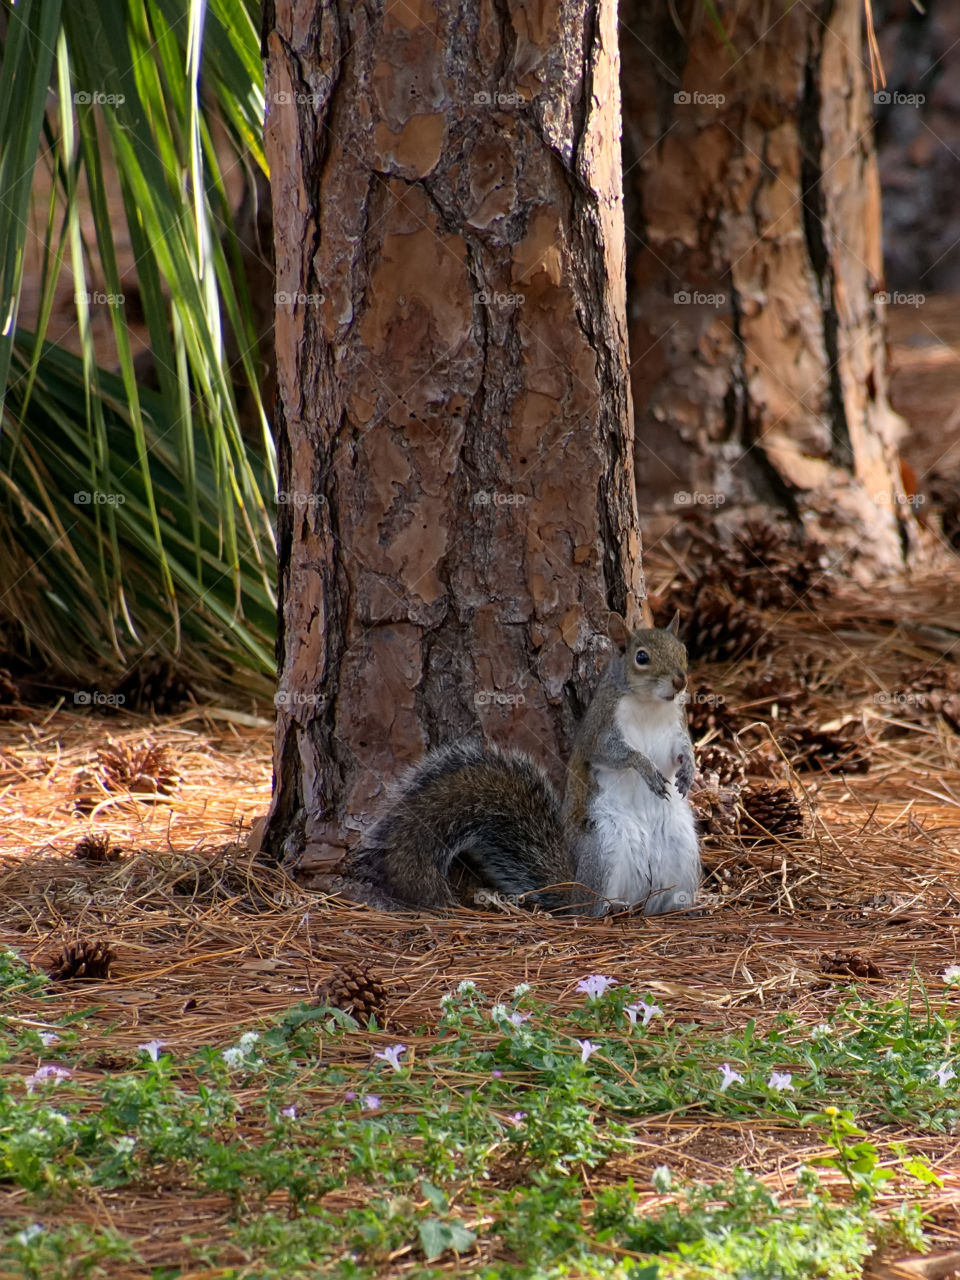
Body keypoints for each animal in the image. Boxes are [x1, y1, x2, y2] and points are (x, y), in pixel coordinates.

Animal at [330, 614, 701, 916]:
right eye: (642, 658)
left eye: (683, 650)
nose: (680, 681)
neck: (650, 706)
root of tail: (573, 887)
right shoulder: (601, 728)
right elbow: (613, 753)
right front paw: (646, 768)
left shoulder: (675, 728)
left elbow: (681, 749)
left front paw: (689, 771)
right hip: (607, 847)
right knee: (589, 909)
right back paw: (609, 908)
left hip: (682, 848)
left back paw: (684, 907)